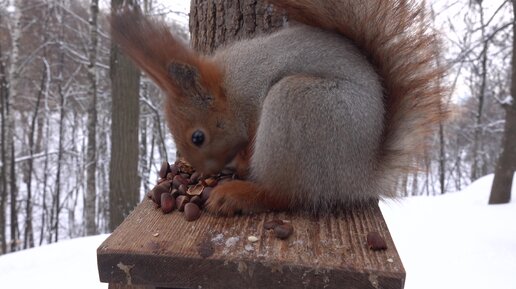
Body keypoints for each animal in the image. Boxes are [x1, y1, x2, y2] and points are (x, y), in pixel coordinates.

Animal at [111, 0, 446, 215]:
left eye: (198, 137)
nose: (208, 172)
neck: (231, 90)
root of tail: (360, 175)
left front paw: (241, 163)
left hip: (297, 105)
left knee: (285, 195)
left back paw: (237, 195)